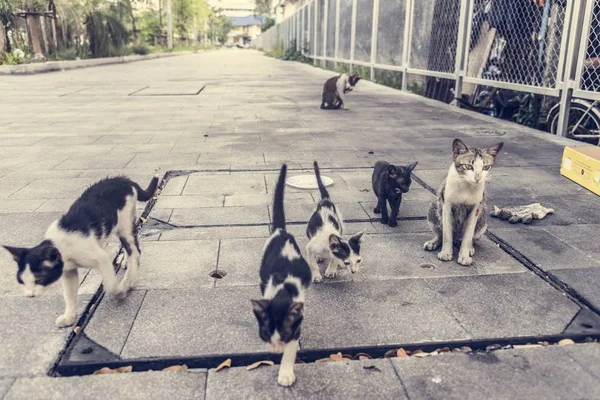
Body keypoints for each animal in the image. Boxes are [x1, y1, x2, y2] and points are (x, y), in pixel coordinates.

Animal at [1, 176, 159, 328]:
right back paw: (125, 262)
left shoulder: (101, 258)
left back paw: (128, 280)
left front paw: (119, 291)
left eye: (39, 279)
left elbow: (110, 284)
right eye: (21, 281)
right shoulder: (68, 271)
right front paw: (69, 317)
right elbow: (69, 294)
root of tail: (123, 179)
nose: (30, 295)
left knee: (135, 251)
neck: (60, 245)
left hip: (124, 224)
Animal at [251, 164, 312, 386]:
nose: (276, 349)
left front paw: (285, 372)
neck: (283, 290)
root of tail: (280, 231)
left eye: (284, 334)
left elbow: (292, 348)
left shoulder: (297, 324)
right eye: (266, 333)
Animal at [424, 139, 504, 268]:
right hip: (433, 207)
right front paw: (446, 252)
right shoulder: (447, 205)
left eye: (485, 167)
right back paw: (434, 242)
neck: (467, 186)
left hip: (483, 218)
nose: (478, 178)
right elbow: (446, 233)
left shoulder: (475, 209)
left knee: (469, 237)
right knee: (441, 232)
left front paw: (464, 256)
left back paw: (470, 248)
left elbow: (468, 235)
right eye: (468, 166)